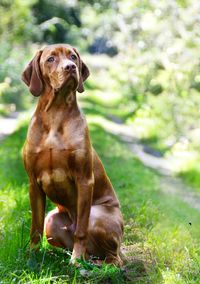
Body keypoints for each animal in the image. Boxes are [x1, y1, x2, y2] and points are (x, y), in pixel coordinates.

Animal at [21, 43, 123, 266]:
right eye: (50, 59)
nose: (70, 67)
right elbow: (35, 227)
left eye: (73, 57)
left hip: (97, 215)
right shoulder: (33, 184)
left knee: (115, 258)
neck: (55, 113)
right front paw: (32, 255)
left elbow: (81, 231)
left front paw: (75, 261)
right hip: (52, 219)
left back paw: (90, 263)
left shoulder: (85, 180)